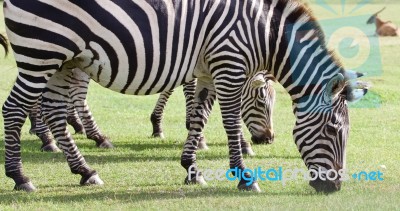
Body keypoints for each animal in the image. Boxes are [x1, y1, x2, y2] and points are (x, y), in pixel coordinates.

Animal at [0, 0, 368, 194]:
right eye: (335, 131)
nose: (335, 187)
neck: (261, 31)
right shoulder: (229, 62)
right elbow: (229, 120)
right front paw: (244, 176)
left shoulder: (206, 70)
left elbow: (198, 116)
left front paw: (191, 167)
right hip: (42, 51)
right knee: (15, 108)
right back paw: (21, 177)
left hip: (65, 60)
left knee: (54, 111)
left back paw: (85, 170)